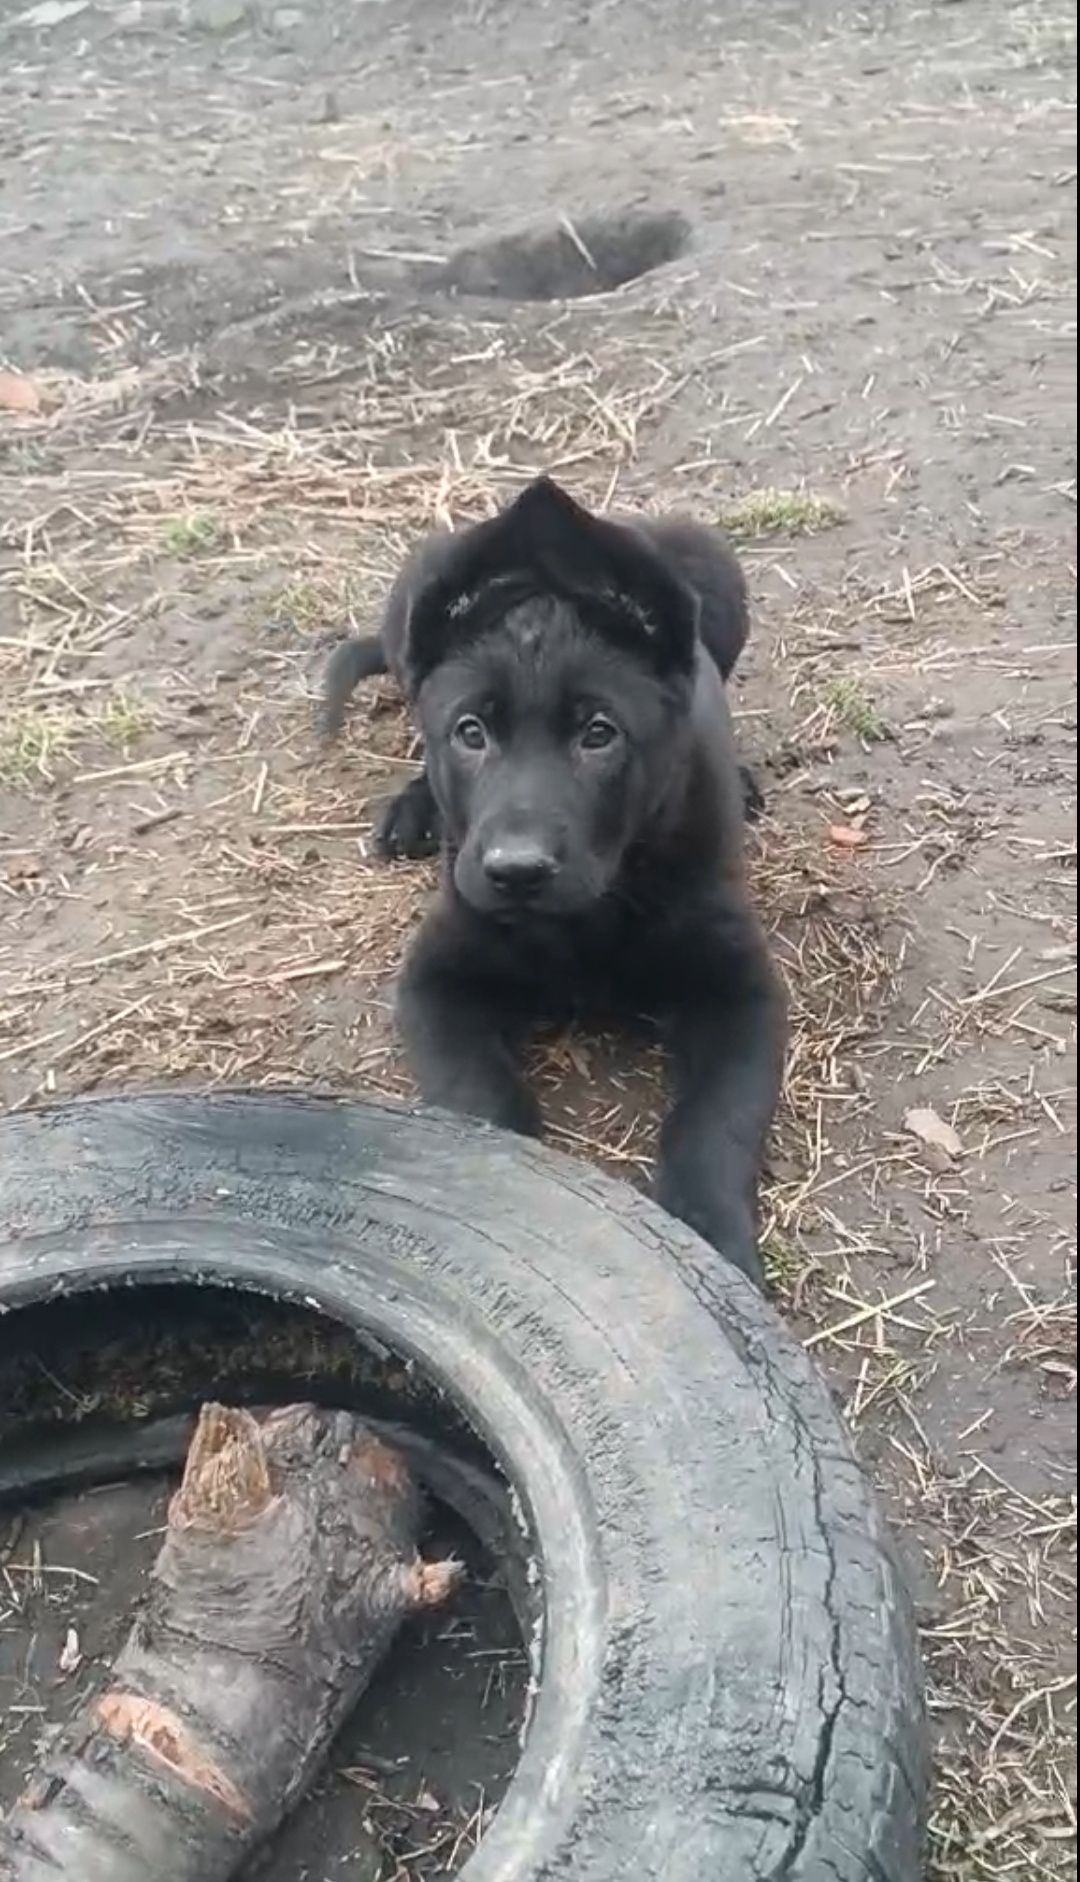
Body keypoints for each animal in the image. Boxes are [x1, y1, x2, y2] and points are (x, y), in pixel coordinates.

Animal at [321, 478, 786, 1287]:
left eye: (598, 733)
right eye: (471, 732)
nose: (517, 870)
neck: (584, 921)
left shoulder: (743, 991)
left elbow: (712, 1124)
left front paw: (712, 1242)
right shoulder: (437, 978)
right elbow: (478, 1097)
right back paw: (414, 807)